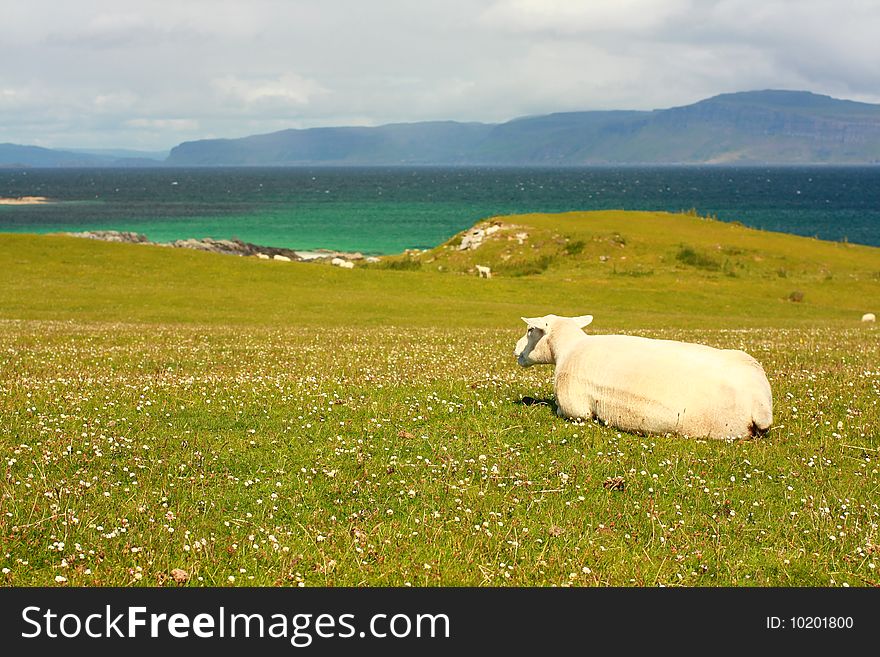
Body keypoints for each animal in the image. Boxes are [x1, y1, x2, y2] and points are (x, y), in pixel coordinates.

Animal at [512, 314, 772, 438]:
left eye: (530, 330)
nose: (515, 350)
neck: (569, 348)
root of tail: (759, 404)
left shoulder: (575, 410)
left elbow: (562, 410)